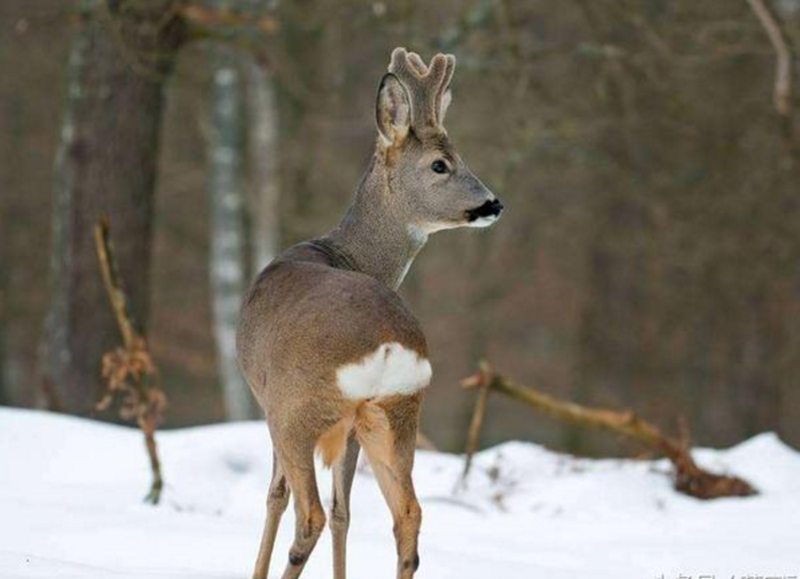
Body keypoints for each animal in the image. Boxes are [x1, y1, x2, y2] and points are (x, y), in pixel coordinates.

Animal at [234, 46, 504, 579]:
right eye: (441, 164)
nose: (493, 203)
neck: (345, 252)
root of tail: (388, 343)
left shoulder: (267, 400)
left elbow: (276, 496)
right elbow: (347, 511)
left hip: (299, 409)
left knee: (309, 514)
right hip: (393, 411)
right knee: (407, 514)